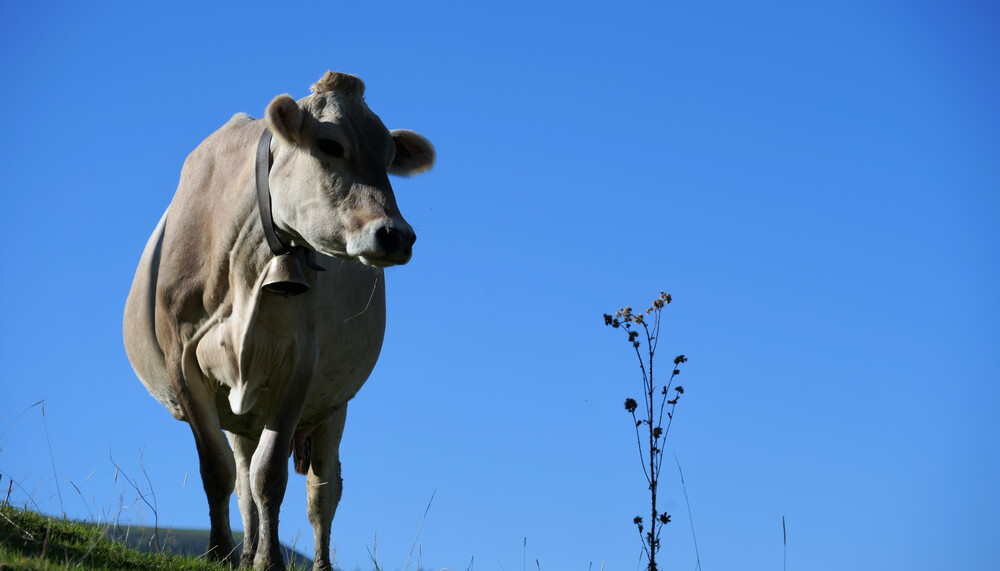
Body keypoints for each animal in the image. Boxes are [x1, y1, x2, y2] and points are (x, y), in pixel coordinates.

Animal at [123, 72, 436, 571]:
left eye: (389, 157)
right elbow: (218, 471)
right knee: (242, 479)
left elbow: (270, 476)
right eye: (329, 143)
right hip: (242, 412)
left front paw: (270, 561)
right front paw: (221, 553)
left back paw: (316, 562)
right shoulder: (182, 361)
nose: (396, 235)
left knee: (322, 490)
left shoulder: (299, 364)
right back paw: (246, 550)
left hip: (332, 406)